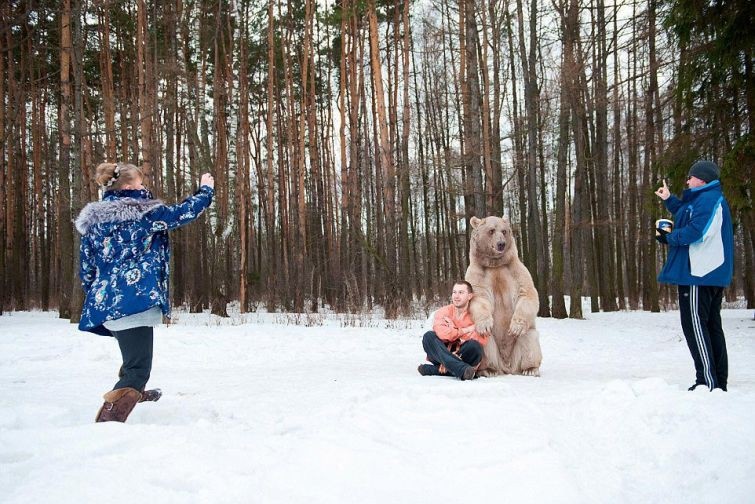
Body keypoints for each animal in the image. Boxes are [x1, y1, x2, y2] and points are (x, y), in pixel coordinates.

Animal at [466, 215, 544, 376]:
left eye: (504, 231)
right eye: (491, 230)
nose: (501, 244)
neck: (496, 263)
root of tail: (507, 366)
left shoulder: (515, 270)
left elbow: (526, 293)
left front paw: (515, 327)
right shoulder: (478, 273)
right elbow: (479, 297)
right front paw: (485, 324)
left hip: (523, 344)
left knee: (529, 340)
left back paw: (530, 369)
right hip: (491, 349)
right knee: (484, 343)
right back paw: (488, 370)